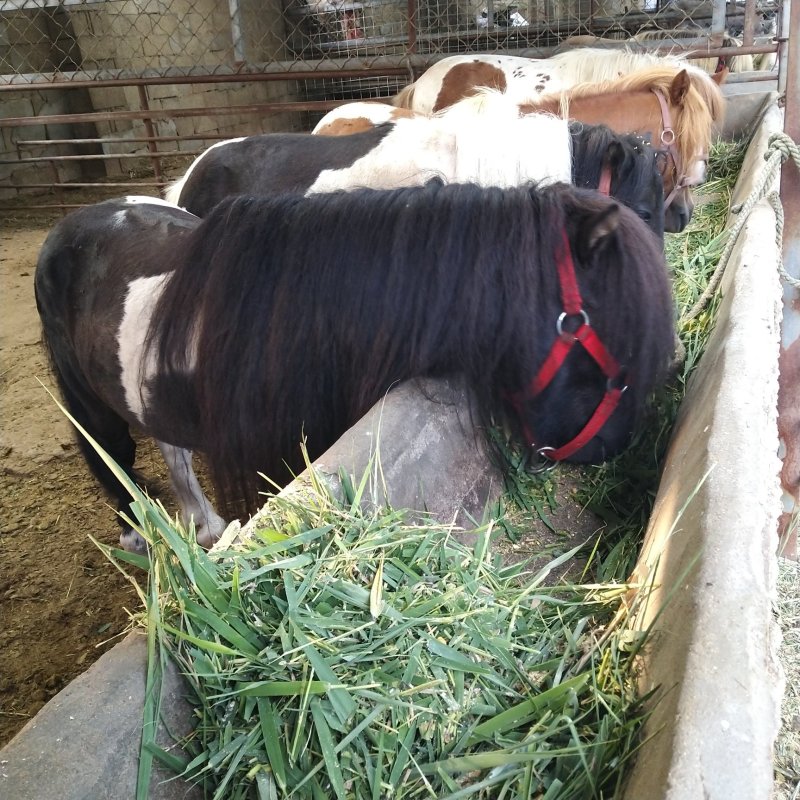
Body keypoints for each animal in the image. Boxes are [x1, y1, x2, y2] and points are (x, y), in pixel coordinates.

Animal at [35, 183, 676, 553]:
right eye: (614, 343)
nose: (615, 445)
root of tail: (71, 225)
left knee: (172, 448)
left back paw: (205, 524)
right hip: (90, 405)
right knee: (115, 461)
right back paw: (140, 537)